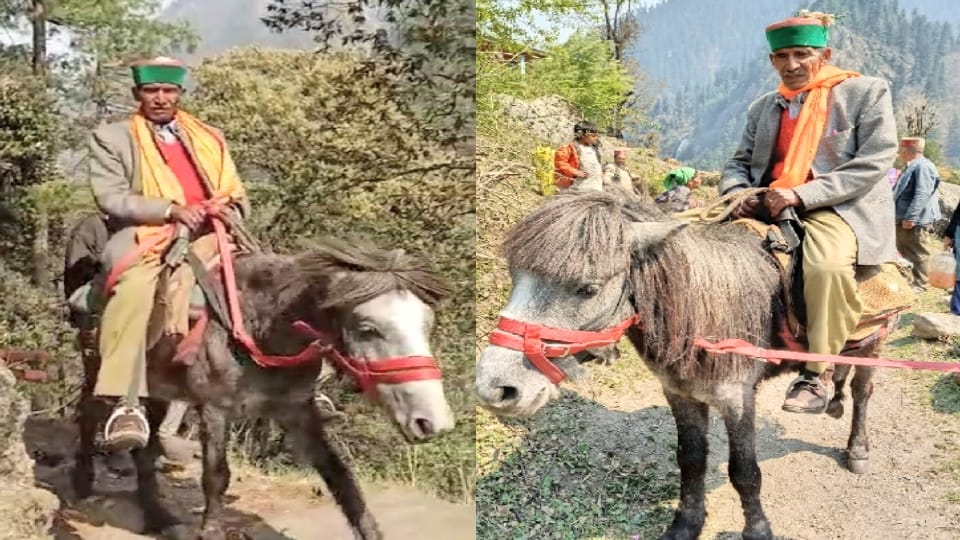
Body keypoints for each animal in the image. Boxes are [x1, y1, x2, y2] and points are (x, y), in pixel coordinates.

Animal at [69, 235, 456, 540]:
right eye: (368, 329)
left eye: (427, 324)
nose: (433, 423)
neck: (259, 329)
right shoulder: (214, 410)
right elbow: (216, 477)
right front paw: (211, 531)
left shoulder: (298, 412)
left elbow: (342, 479)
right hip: (100, 367)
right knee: (88, 414)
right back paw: (82, 482)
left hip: (159, 389)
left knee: (145, 450)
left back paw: (157, 517)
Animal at [476, 189, 895, 540]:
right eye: (515, 275)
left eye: (588, 288)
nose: (496, 389)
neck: (701, 310)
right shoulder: (679, 392)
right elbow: (691, 460)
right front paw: (687, 524)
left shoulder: (737, 397)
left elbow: (745, 472)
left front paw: (757, 530)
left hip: (875, 344)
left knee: (863, 392)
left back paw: (857, 448)